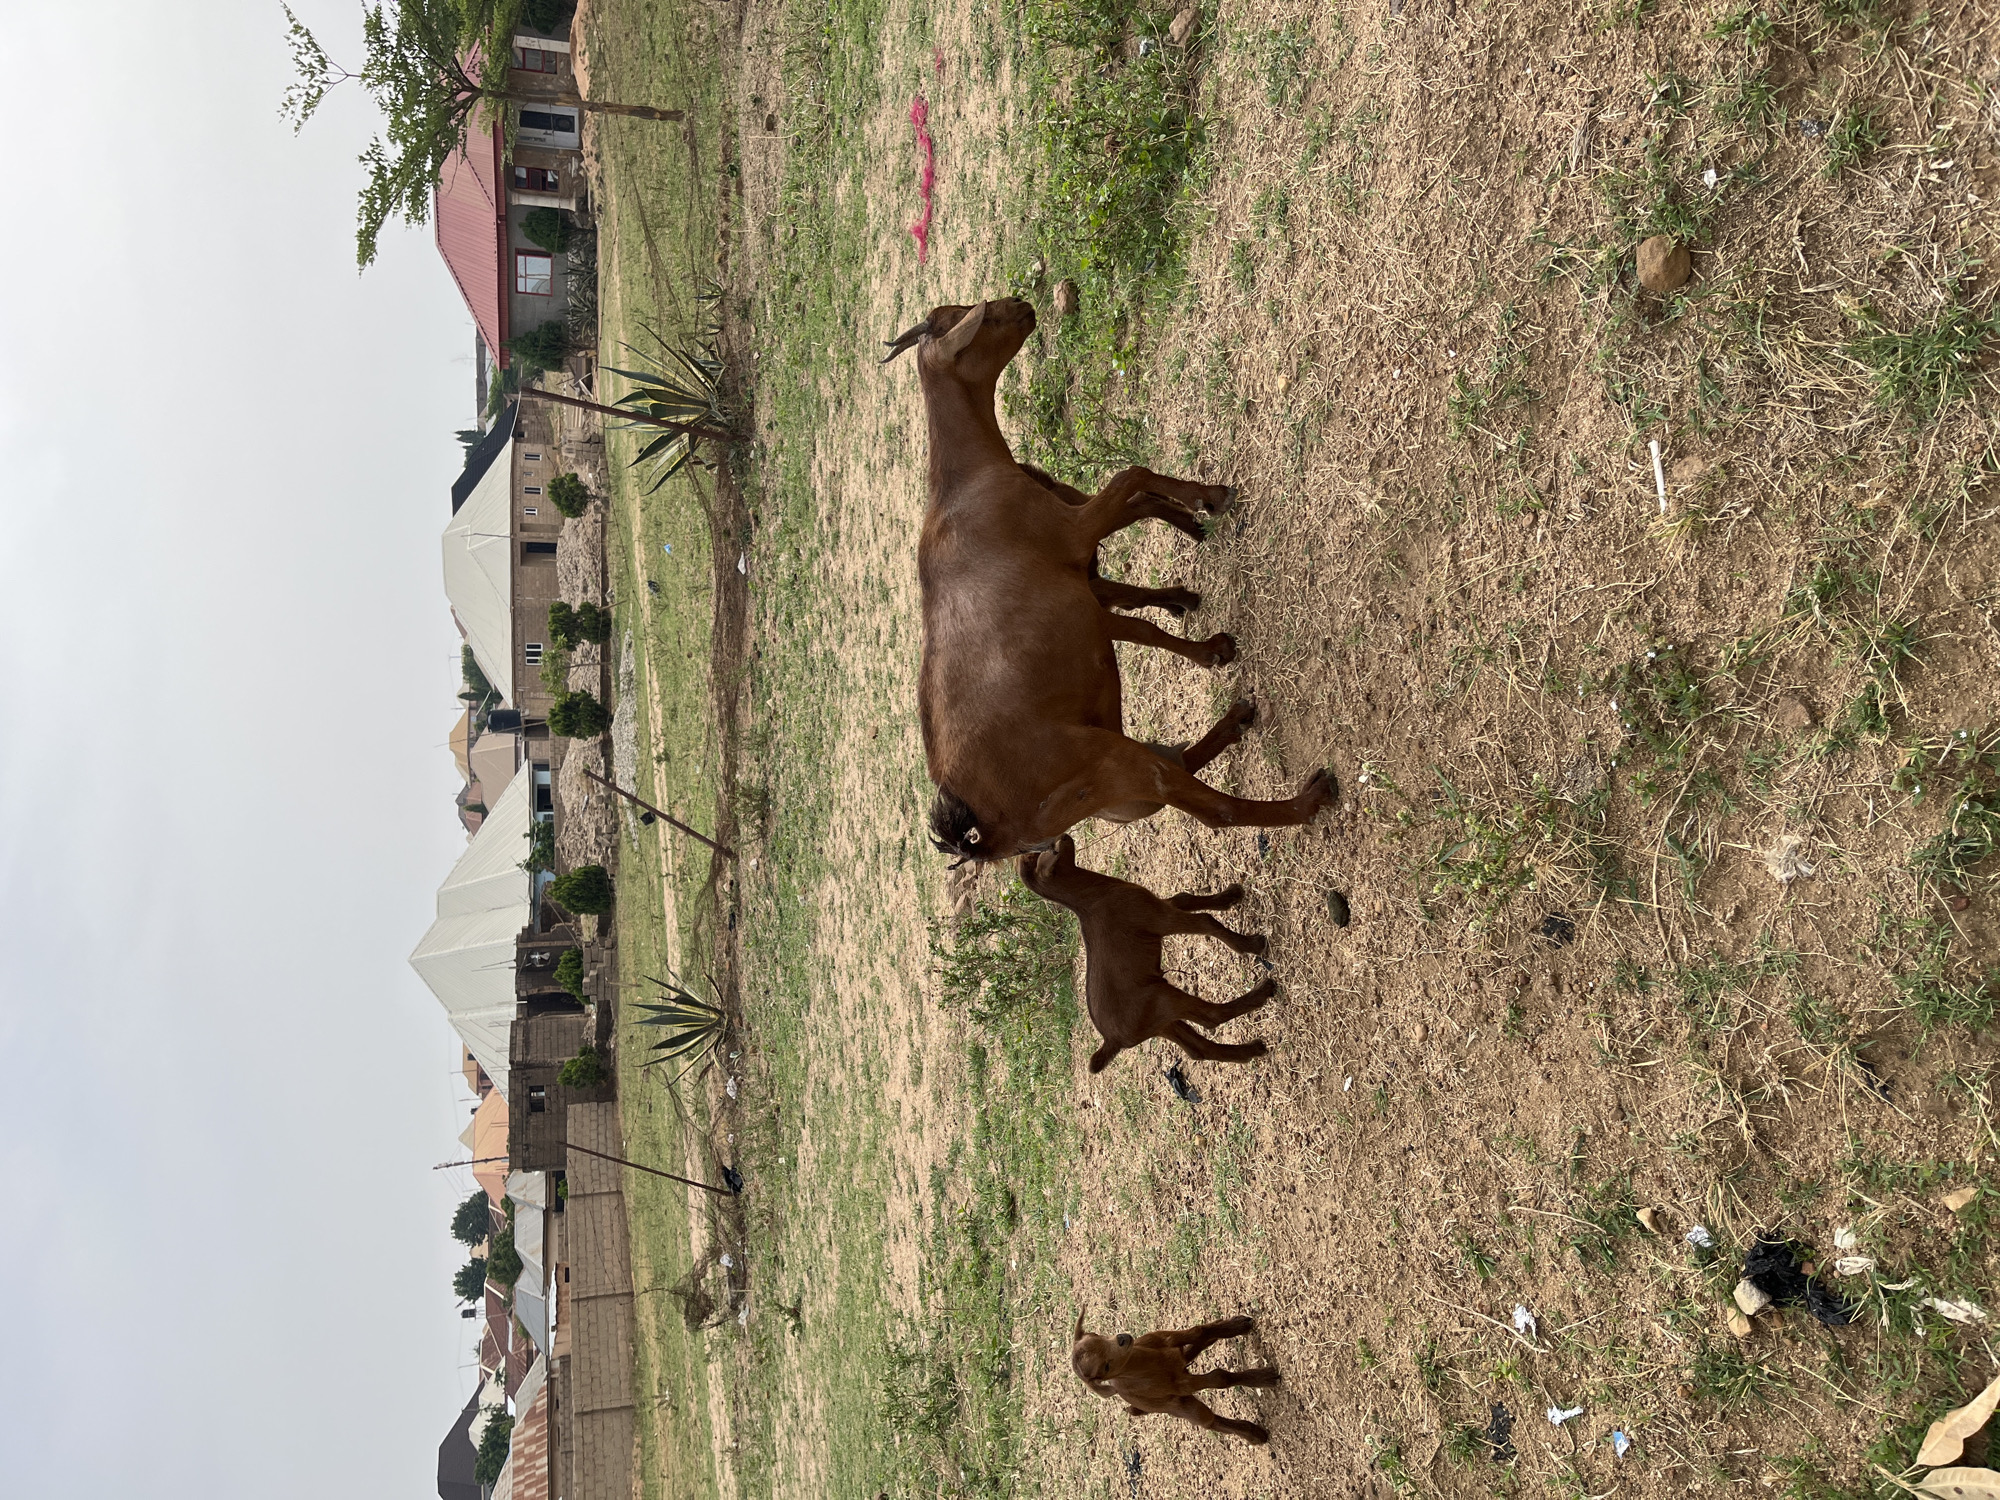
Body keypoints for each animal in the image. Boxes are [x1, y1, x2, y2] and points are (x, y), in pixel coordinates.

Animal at [884, 298, 1336, 861]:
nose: (1022, 305)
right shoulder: (1074, 536)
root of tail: (986, 833)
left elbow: (1139, 614)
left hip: (1111, 792)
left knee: (1171, 770)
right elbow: (1131, 478)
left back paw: (1234, 722)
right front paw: (1208, 499)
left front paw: (1203, 627)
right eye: (981, 319)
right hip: (1107, 764)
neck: (964, 483)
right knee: (1209, 807)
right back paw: (1308, 799)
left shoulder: (1083, 599)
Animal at [1020, 834, 1275, 1072]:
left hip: (1158, 1020)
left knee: (1198, 1048)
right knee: (1210, 1016)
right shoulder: (1159, 918)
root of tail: (1112, 1039)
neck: (1091, 897)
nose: (1063, 836)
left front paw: (1231, 896)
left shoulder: (1160, 905)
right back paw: (1262, 992)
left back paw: (1251, 1050)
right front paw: (1250, 945)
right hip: (1163, 998)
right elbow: (1206, 921)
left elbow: (1184, 898)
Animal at [1071, 1308, 1279, 1445]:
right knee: (1208, 1420)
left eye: (1097, 1336)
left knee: (1195, 1347)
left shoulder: (1164, 1338)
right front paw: (1264, 1378)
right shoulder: (1181, 1385)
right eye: (1105, 1367)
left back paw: (1228, 1326)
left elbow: (1197, 1331)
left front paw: (1235, 1327)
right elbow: (1219, 1378)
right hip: (1177, 1406)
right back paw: (1253, 1434)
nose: (1122, 1339)